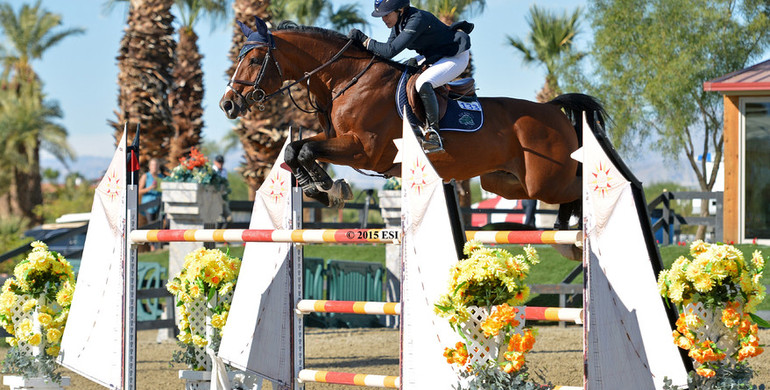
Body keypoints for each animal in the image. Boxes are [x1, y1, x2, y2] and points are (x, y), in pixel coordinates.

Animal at [220, 18, 608, 230]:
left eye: (254, 59)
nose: (228, 104)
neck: (346, 79)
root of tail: (553, 111)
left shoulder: (364, 150)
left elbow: (306, 149)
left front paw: (328, 187)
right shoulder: (338, 141)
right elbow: (296, 149)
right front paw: (320, 188)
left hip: (546, 182)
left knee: (577, 191)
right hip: (507, 183)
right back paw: (563, 227)